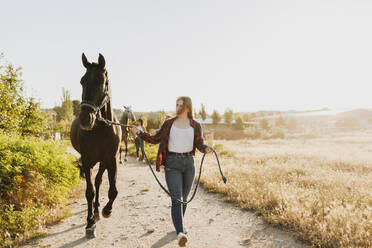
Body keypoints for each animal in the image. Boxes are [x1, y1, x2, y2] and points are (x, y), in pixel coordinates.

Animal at [70, 52, 121, 238]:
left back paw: (99, 209)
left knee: (99, 181)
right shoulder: (86, 161)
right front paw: (90, 223)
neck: (100, 128)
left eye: (100, 81)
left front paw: (107, 210)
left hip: (103, 162)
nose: (86, 119)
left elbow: (113, 190)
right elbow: (89, 192)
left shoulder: (111, 160)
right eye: (82, 81)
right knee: (95, 184)